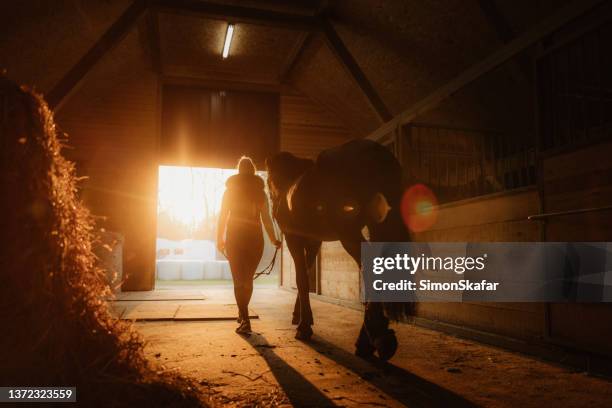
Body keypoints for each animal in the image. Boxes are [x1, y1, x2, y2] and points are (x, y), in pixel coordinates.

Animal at [266, 140, 414, 360]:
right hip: (377, 225)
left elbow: (301, 279)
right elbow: (305, 275)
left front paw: (303, 327)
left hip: (349, 233)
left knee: (370, 266)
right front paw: (299, 316)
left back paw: (375, 337)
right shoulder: (314, 241)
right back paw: (371, 339)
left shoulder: (294, 238)